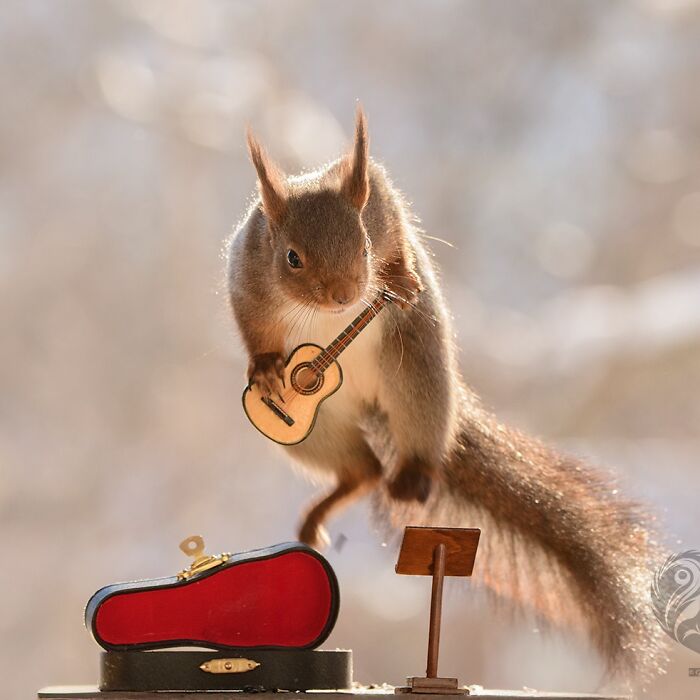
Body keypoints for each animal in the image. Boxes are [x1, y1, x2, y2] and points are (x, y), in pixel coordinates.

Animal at [226, 108, 667, 686]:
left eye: (364, 247)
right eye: (292, 258)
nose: (345, 295)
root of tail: (371, 409)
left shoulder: (381, 201)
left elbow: (399, 237)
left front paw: (403, 276)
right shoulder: (248, 274)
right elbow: (253, 326)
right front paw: (266, 368)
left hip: (418, 374)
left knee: (405, 459)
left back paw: (412, 475)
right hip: (313, 432)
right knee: (361, 472)